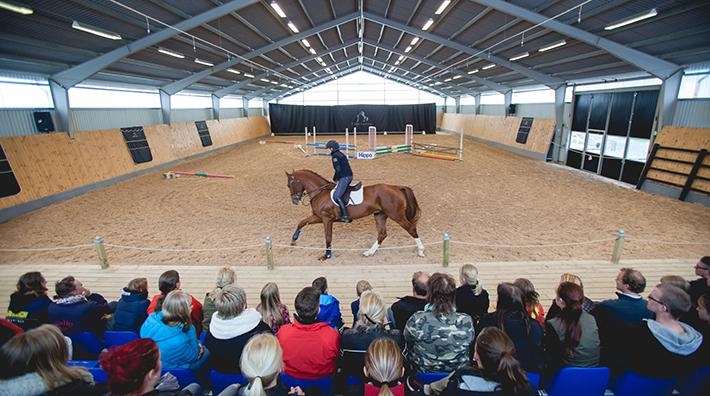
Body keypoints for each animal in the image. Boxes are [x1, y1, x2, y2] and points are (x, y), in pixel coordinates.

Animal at [286, 169, 426, 260]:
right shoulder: (318, 217)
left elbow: (328, 237)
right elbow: (301, 223)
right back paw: (369, 253)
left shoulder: (326, 219)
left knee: (411, 228)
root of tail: (396, 187)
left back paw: (421, 251)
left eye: (290, 184)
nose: (295, 201)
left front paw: (326, 256)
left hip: (396, 215)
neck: (320, 192)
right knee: (382, 234)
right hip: (380, 215)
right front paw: (293, 240)